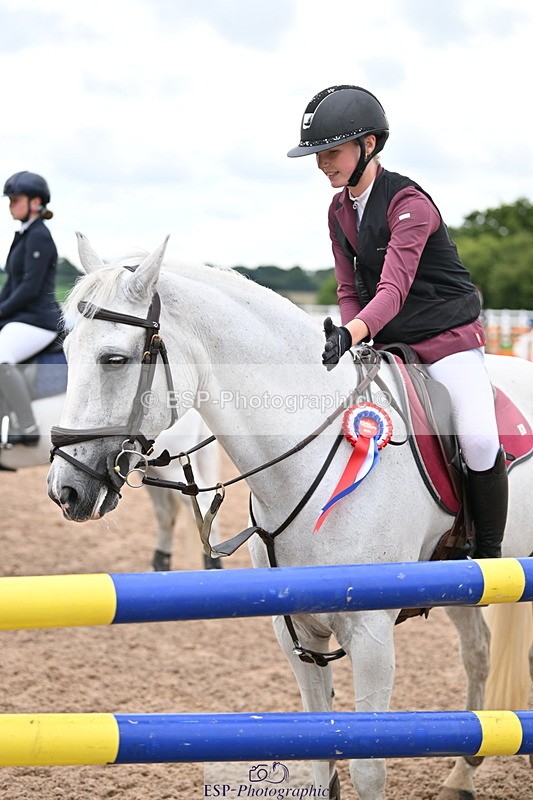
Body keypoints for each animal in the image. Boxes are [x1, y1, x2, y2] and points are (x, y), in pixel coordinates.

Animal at [46, 233, 533, 800]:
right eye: (66, 354)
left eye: (114, 359)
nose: (66, 490)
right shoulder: (297, 631)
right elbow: (323, 757)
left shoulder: (371, 636)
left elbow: (369, 768)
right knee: (478, 654)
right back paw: (461, 774)